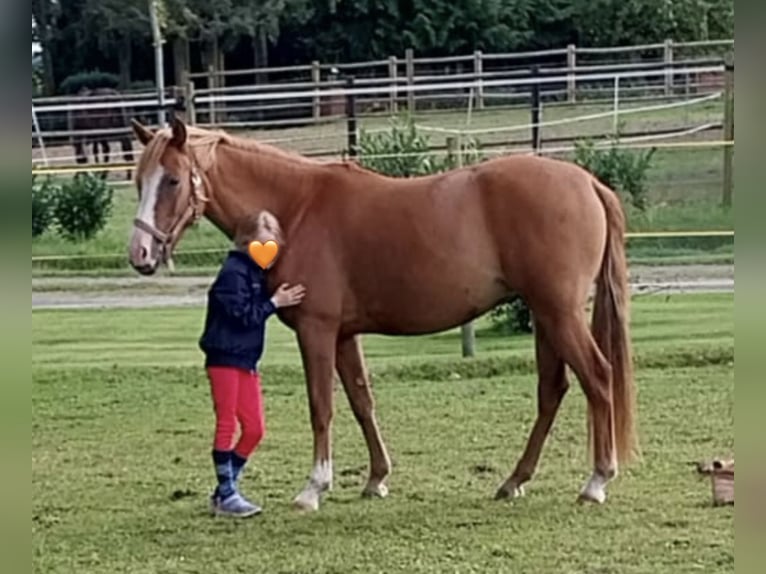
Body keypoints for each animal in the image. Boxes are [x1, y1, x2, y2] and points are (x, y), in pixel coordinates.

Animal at [129, 117, 640, 512]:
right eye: (138, 181)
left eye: (172, 180)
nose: (140, 254)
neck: (299, 207)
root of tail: (587, 182)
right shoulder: (343, 335)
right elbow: (361, 400)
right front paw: (376, 478)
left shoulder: (316, 330)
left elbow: (322, 406)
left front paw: (313, 488)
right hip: (547, 315)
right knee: (552, 391)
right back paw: (515, 480)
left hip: (560, 314)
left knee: (598, 378)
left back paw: (596, 481)